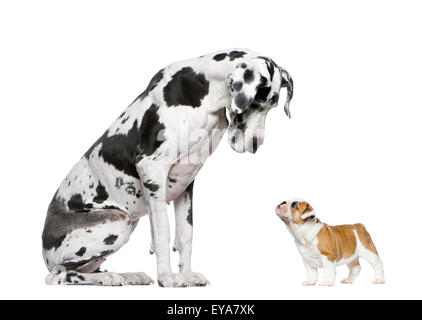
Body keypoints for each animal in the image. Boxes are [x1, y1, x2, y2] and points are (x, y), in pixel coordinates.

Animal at [42, 49, 294, 288]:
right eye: (255, 103)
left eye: (272, 106)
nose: (255, 144)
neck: (205, 92)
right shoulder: (152, 170)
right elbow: (163, 234)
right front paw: (166, 277)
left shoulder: (186, 182)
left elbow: (185, 235)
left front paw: (187, 274)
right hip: (117, 221)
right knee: (59, 275)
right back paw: (108, 278)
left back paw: (128, 275)